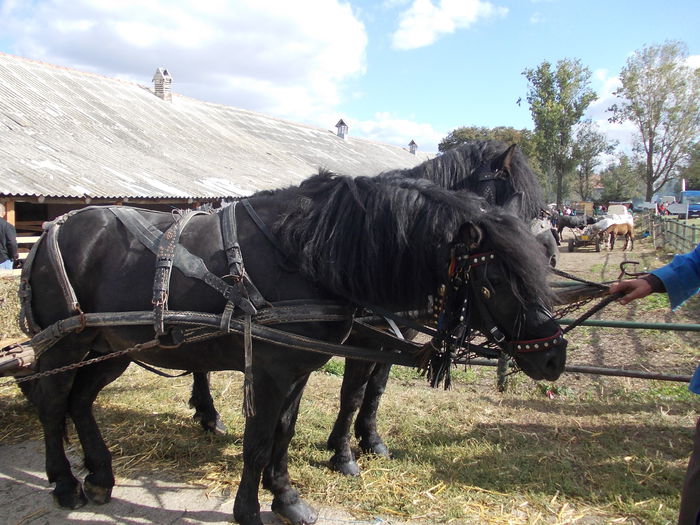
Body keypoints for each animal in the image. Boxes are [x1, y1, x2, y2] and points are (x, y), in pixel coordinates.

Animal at [24, 172, 568, 524]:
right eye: (495, 279)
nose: (554, 357)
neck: (303, 251)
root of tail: (51, 230)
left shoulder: (297, 368)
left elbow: (284, 433)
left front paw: (286, 498)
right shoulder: (269, 371)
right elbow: (260, 438)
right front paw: (249, 511)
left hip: (108, 348)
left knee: (80, 402)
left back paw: (100, 475)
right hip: (63, 347)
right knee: (52, 405)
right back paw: (66, 483)